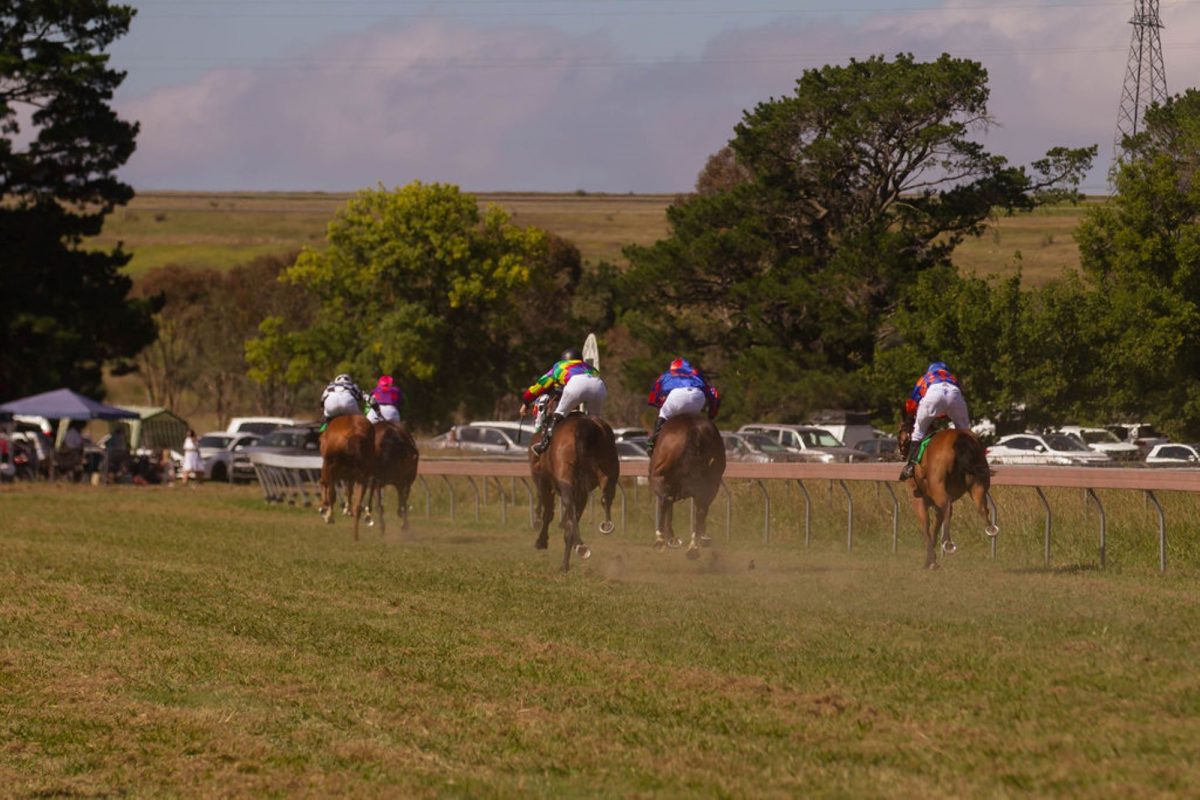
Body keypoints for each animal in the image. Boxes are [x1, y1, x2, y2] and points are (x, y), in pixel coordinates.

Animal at [530, 410, 619, 573]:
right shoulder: (582, 491)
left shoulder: (544, 481)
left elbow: (548, 513)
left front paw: (541, 541)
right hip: (608, 471)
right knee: (605, 497)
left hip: (565, 480)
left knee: (568, 507)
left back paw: (580, 548)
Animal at [652, 417, 724, 561]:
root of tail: (693, 431)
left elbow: (666, 504)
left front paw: (669, 537)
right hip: (711, 484)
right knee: (701, 510)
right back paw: (693, 547)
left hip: (661, 478)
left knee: (665, 499)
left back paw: (661, 539)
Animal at [897, 407, 998, 568]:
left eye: (899, 429)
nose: (899, 452)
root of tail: (960, 439)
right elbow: (936, 525)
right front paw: (932, 558)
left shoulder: (918, 499)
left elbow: (926, 525)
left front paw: (930, 561)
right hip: (979, 484)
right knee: (981, 507)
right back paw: (990, 529)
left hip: (939, 490)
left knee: (948, 510)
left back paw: (948, 543)